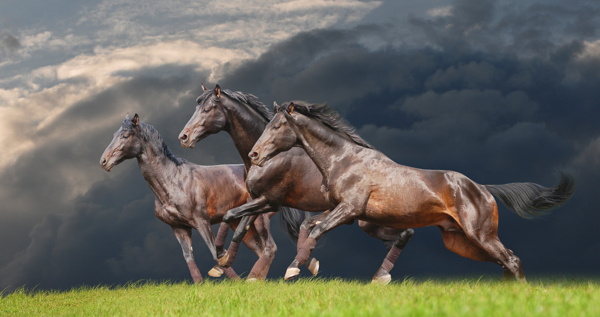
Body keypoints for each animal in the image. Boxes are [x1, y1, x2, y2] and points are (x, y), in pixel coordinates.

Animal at [100, 114, 282, 282]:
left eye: (125, 135)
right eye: (114, 134)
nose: (103, 161)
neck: (173, 180)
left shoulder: (202, 221)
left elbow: (215, 253)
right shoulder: (179, 228)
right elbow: (189, 257)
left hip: (259, 219)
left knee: (270, 248)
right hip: (242, 226)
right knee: (260, 249)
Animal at [177, 84, 412, 282]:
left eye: (207, 109)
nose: (184, 137)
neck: (272, 157)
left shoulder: (270, 201)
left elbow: (231, 216)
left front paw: (223, 259)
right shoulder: (257, 200)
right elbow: (240, 226)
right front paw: (222, 264)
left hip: (370, 220)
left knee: (405, 233)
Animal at [247, 99, 576, 282]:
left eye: (276, 126)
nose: (254, 155)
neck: (345, 159)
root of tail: (483, 188)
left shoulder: (349, 210)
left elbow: (315, 230)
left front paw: (294, 270)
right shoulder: (339, 210)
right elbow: (307, 227)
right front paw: (307, 265)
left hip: (480, 235)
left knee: (512, 260)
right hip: (461, 242)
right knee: (507, 261)